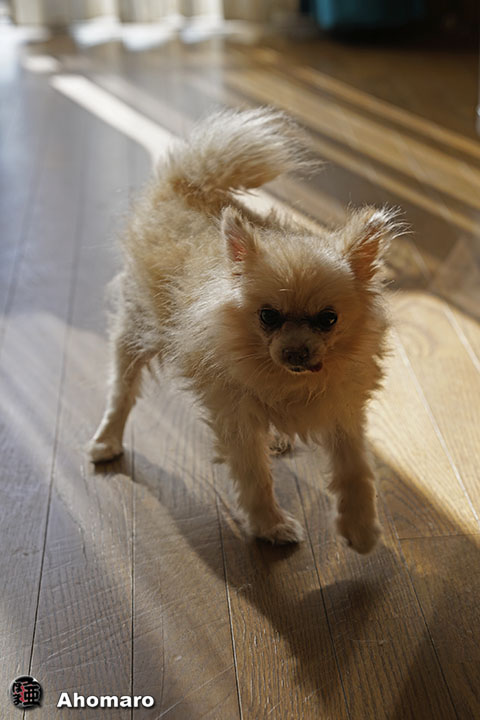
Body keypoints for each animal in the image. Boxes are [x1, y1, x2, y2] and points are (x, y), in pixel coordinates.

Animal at [89, 108, 400, 553]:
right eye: (268, 316)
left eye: (328, 319)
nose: (296, 352)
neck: (287, 381)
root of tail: (185, 185)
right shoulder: (235, 419)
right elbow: (254, 477)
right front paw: (271, 526)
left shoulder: (342, 412)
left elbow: (356, 469)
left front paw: (360, 528)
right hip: (135, 331)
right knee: (122, 392)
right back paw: (106, 440)